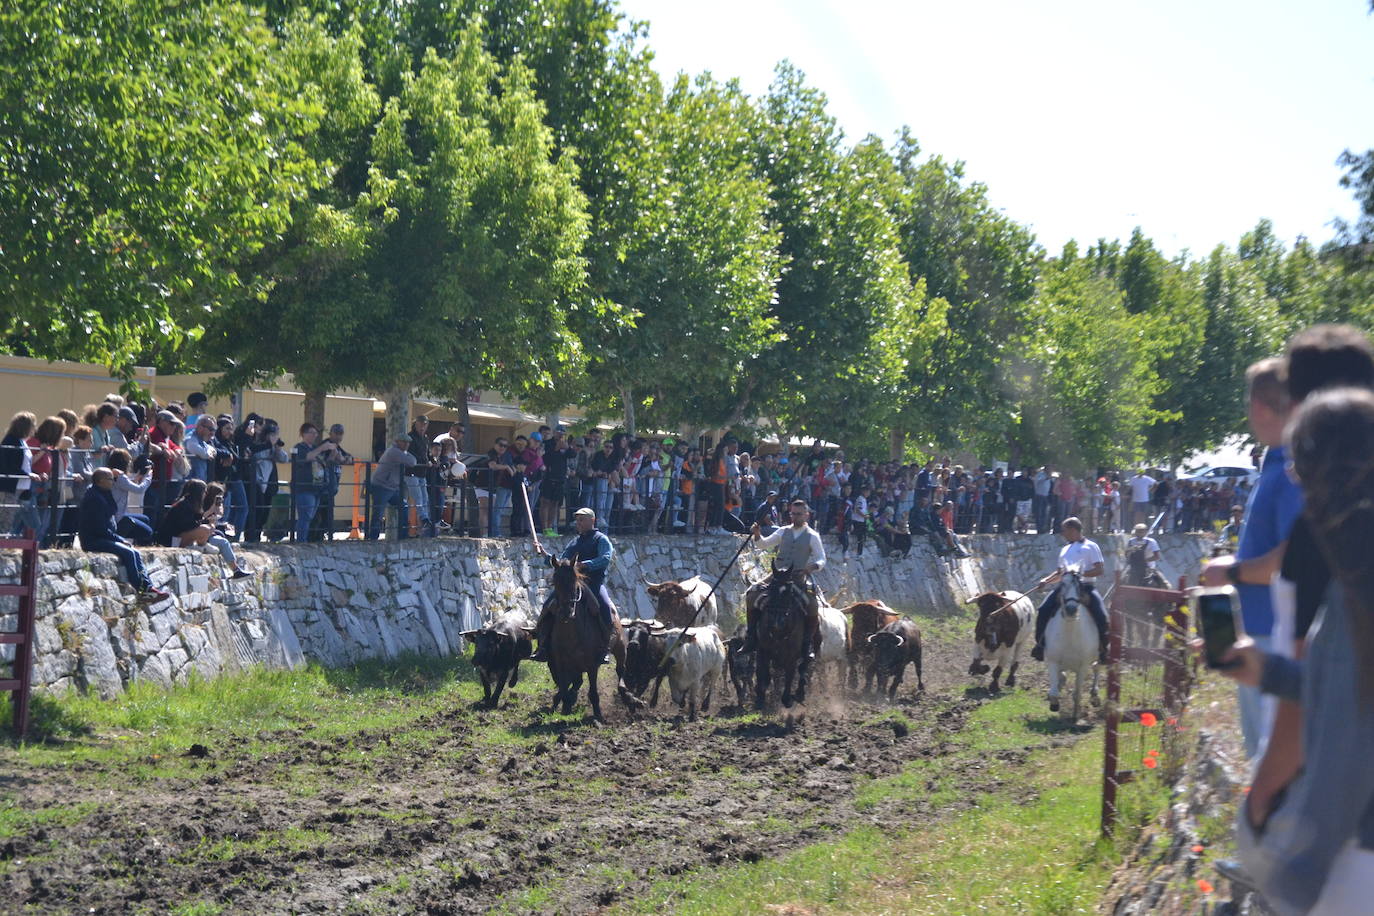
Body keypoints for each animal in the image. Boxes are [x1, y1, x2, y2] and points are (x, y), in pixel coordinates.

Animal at [541, 560, 643, 725]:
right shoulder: (561, 664)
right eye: (555, 582)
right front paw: (565, 704)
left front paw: (598, 716)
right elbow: (564, 689)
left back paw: (629, 698)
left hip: (620, 649)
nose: (566, 611)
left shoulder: (592, 665)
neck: (571, 635)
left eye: (575, 582)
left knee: (620, 671)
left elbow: (593, 692)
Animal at [752, 563, 813, 714]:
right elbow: (763, 673)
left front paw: (787, 699)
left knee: (804, 667)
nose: (777, 621)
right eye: (771, 588)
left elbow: (790, 675)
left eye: (789, 591)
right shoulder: (762, 651)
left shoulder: (792, 656)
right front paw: (760, 698)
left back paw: (799, 693)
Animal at [1044, 565, 1099, 725]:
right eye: (1062, 584)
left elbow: (1078, 693)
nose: (1071, 609)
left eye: (1079, 585)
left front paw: (1075, 716)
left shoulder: (1083, 666)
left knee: (1097, 668)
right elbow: (1054, 691)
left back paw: (1095, 695)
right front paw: (1054, 704)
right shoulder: (1053, 661)